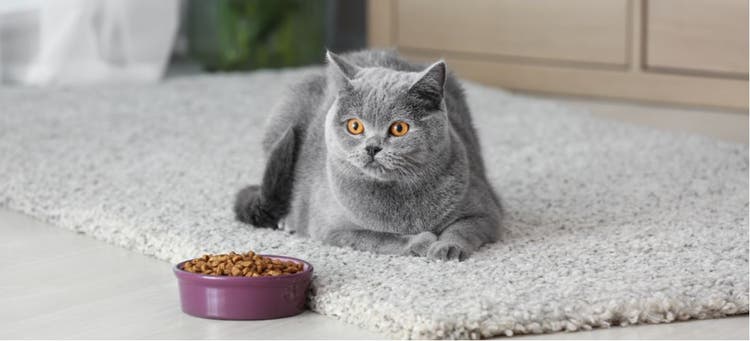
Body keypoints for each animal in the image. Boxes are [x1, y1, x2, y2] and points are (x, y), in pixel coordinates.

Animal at [238, 48, 502, 260]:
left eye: (399, 128)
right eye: (355, 126)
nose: (372, 147)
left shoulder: (486, 210)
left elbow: (463, 228)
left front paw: (446, 247)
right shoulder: (333, 229)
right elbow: (379, 237)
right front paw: (421, 241)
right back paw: (288, 220)